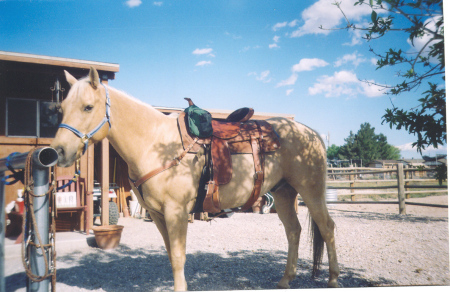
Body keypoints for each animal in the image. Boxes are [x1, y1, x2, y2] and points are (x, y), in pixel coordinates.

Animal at [51, 67, 340, 290]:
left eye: (88, 107)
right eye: (61, 108)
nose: (58, 151)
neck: (155, 144)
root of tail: (311, 133)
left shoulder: (176, 212)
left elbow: (179, 257)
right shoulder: (157, 214)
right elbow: (171, 255)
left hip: (311, 191)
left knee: (327, 228)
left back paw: (333, 280)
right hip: (284, 192)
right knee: (294, 231)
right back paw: (285, 280)